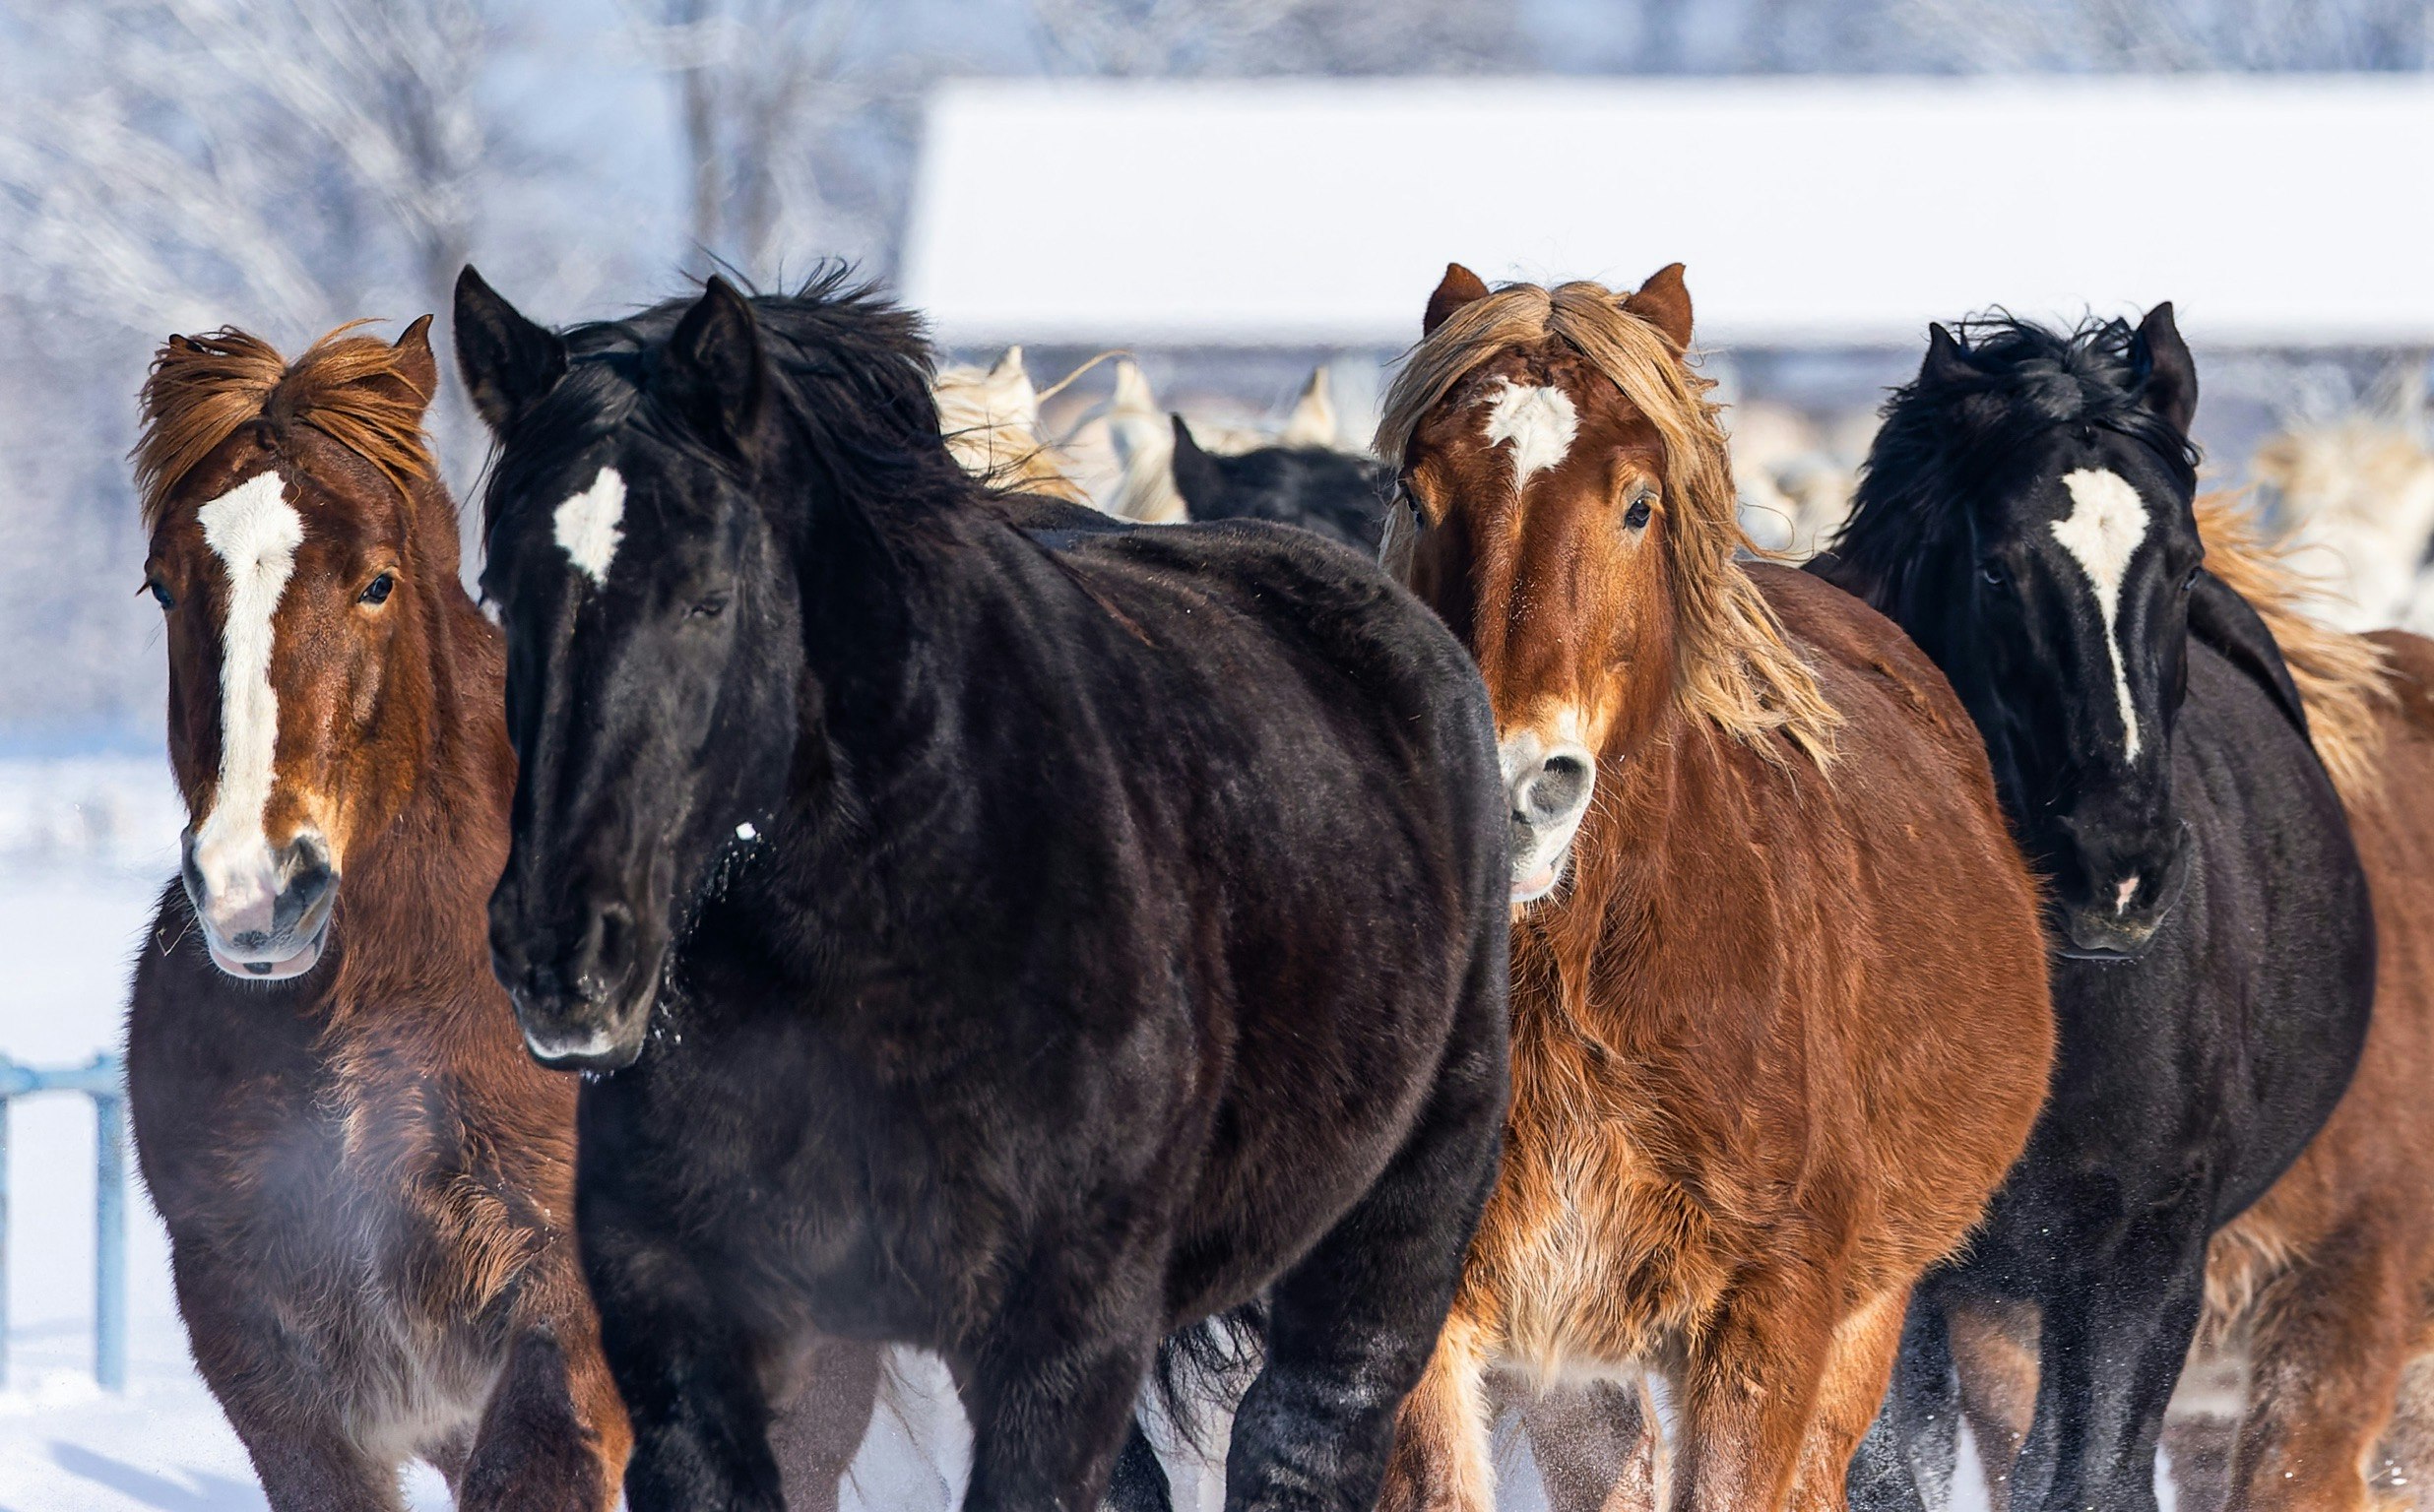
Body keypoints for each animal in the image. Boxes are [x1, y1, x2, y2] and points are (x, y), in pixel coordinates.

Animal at [450, 264, 1513, 1512]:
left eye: (709, 596)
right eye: (500, 592)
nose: (566, 956)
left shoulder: (1064, 1335)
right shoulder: (683, 1319)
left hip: (1386, 1247)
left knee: (1301, 1443)